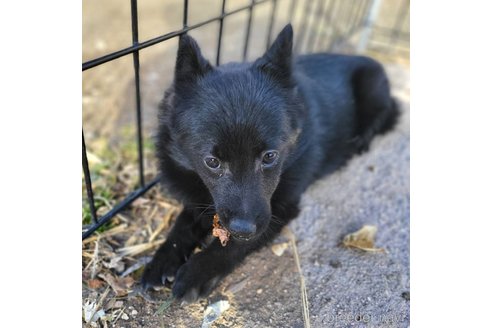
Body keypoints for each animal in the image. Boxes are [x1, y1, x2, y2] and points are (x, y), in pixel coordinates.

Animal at [140, 23, 398, 302]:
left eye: (270, 156)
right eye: (212, 162)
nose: (243, 228)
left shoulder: (280, 207)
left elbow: (231, 246)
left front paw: (197, 271)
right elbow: (182, 226)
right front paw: (161, 261)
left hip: (372, 86)